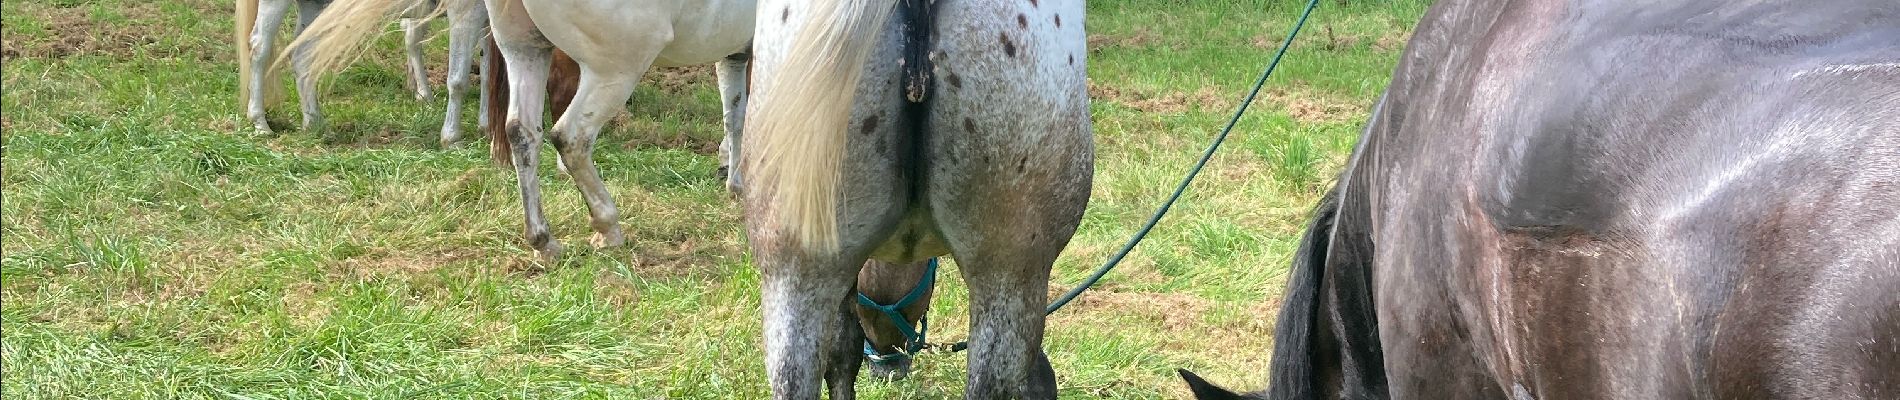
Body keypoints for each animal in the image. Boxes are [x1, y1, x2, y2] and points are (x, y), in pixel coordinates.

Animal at [236, 0, 486, 140]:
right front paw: (453, 138)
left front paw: (485, 128)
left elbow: (487, 74)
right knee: (259, 49)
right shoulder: (465, 11)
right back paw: (260, 123)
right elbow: (458, 79)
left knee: (303, 56)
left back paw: (315, 124)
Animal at [292, 0, 752, 255]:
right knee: (570, 137)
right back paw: (607, 227)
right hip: (614, 69)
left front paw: (734, 183)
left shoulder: (735, 52)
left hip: (525, 50)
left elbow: (734, 115)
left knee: (522, 132)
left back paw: (542, 240)